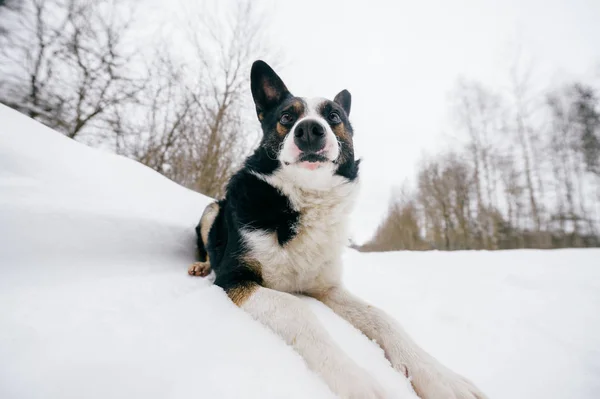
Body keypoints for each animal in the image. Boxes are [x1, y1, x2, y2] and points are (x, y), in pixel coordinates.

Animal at [189, 60, 488, 399]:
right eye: (287, 117)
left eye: (334, 116)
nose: (309, 130)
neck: (306, 198)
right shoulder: (233, 279)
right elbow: (297, 309)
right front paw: (358, 380)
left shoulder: (328, 288)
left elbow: (382, 317)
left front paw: (439, 375)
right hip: (213, 209)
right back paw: (201, 265)